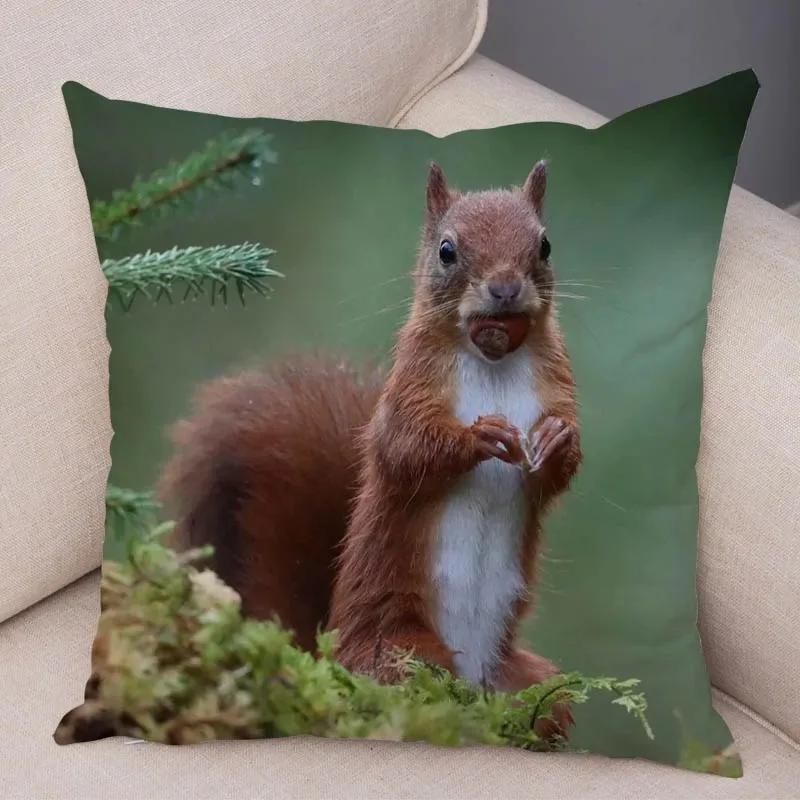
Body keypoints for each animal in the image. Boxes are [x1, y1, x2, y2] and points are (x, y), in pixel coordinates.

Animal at [160, 162, 581, 732]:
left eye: (545, 245)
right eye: (446, 251)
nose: (505, 289)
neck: (494, 361)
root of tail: (332, 651)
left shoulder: (557, 383)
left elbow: (559, 471)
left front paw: (558, 441)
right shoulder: (409, 388)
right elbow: (404, 449)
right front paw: (478, 436)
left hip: (531, 685)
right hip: (402, 651)